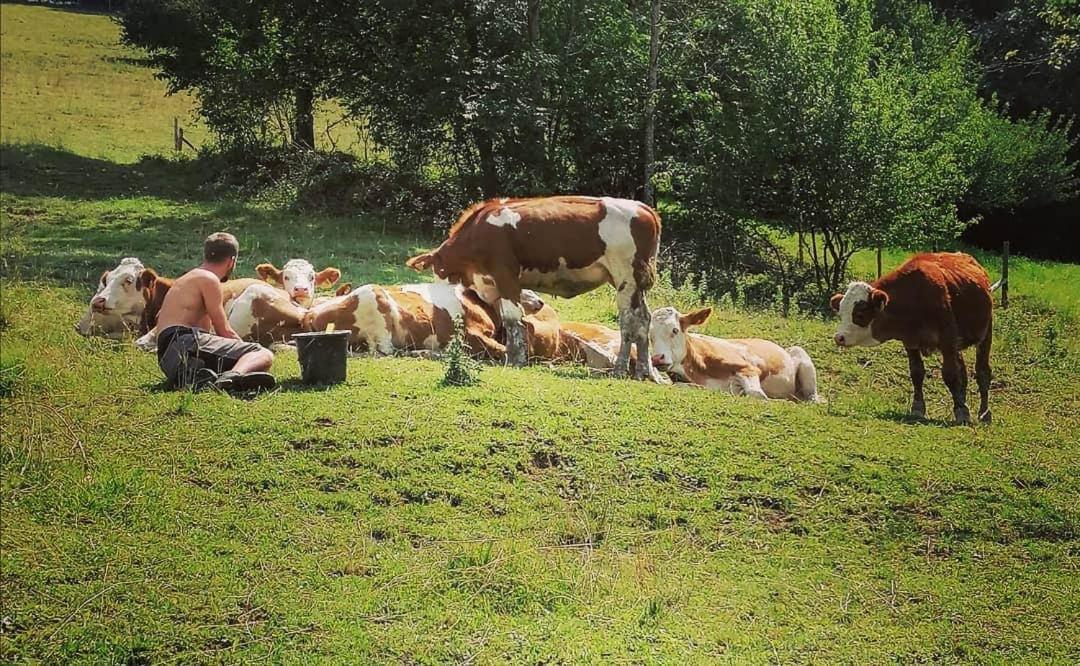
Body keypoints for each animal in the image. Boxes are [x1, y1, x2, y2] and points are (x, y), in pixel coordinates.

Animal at [648, 304, 816, 399]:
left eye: (675, 330)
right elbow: (679, 385)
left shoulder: (749, 368)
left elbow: (757, 394)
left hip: (801, 357)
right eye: (650, 336)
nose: (657, 358)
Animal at [833, 251, 993, 423]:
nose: (839, 337)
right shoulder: (910, 342)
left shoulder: (947, 340)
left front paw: (961, 411)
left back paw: (984, 413)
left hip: (985, 334)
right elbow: (917, 373)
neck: (915, 298)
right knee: (963, 373)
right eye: (841, 313)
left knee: (982, 372)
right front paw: (918, 408)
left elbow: (950, 374)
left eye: (860, 314)